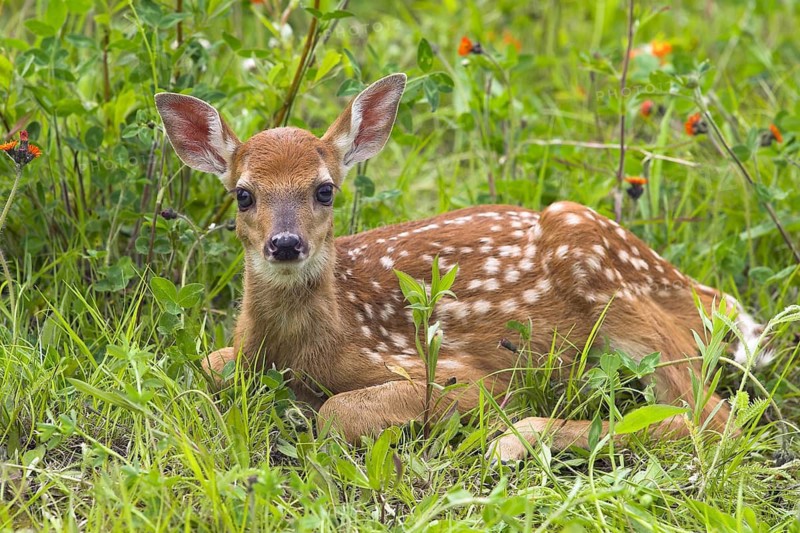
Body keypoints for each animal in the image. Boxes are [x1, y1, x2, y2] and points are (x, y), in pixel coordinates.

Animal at [154, 73, 773, 463]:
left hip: (613, 286)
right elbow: (208, 364)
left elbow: (336, 413)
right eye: (243, 195)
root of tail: (712, 301)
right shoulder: (235, 356)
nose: (285, 244)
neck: (314, 343)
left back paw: (516, 441)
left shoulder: (456, 372)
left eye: (324, 190)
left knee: (715, 422)